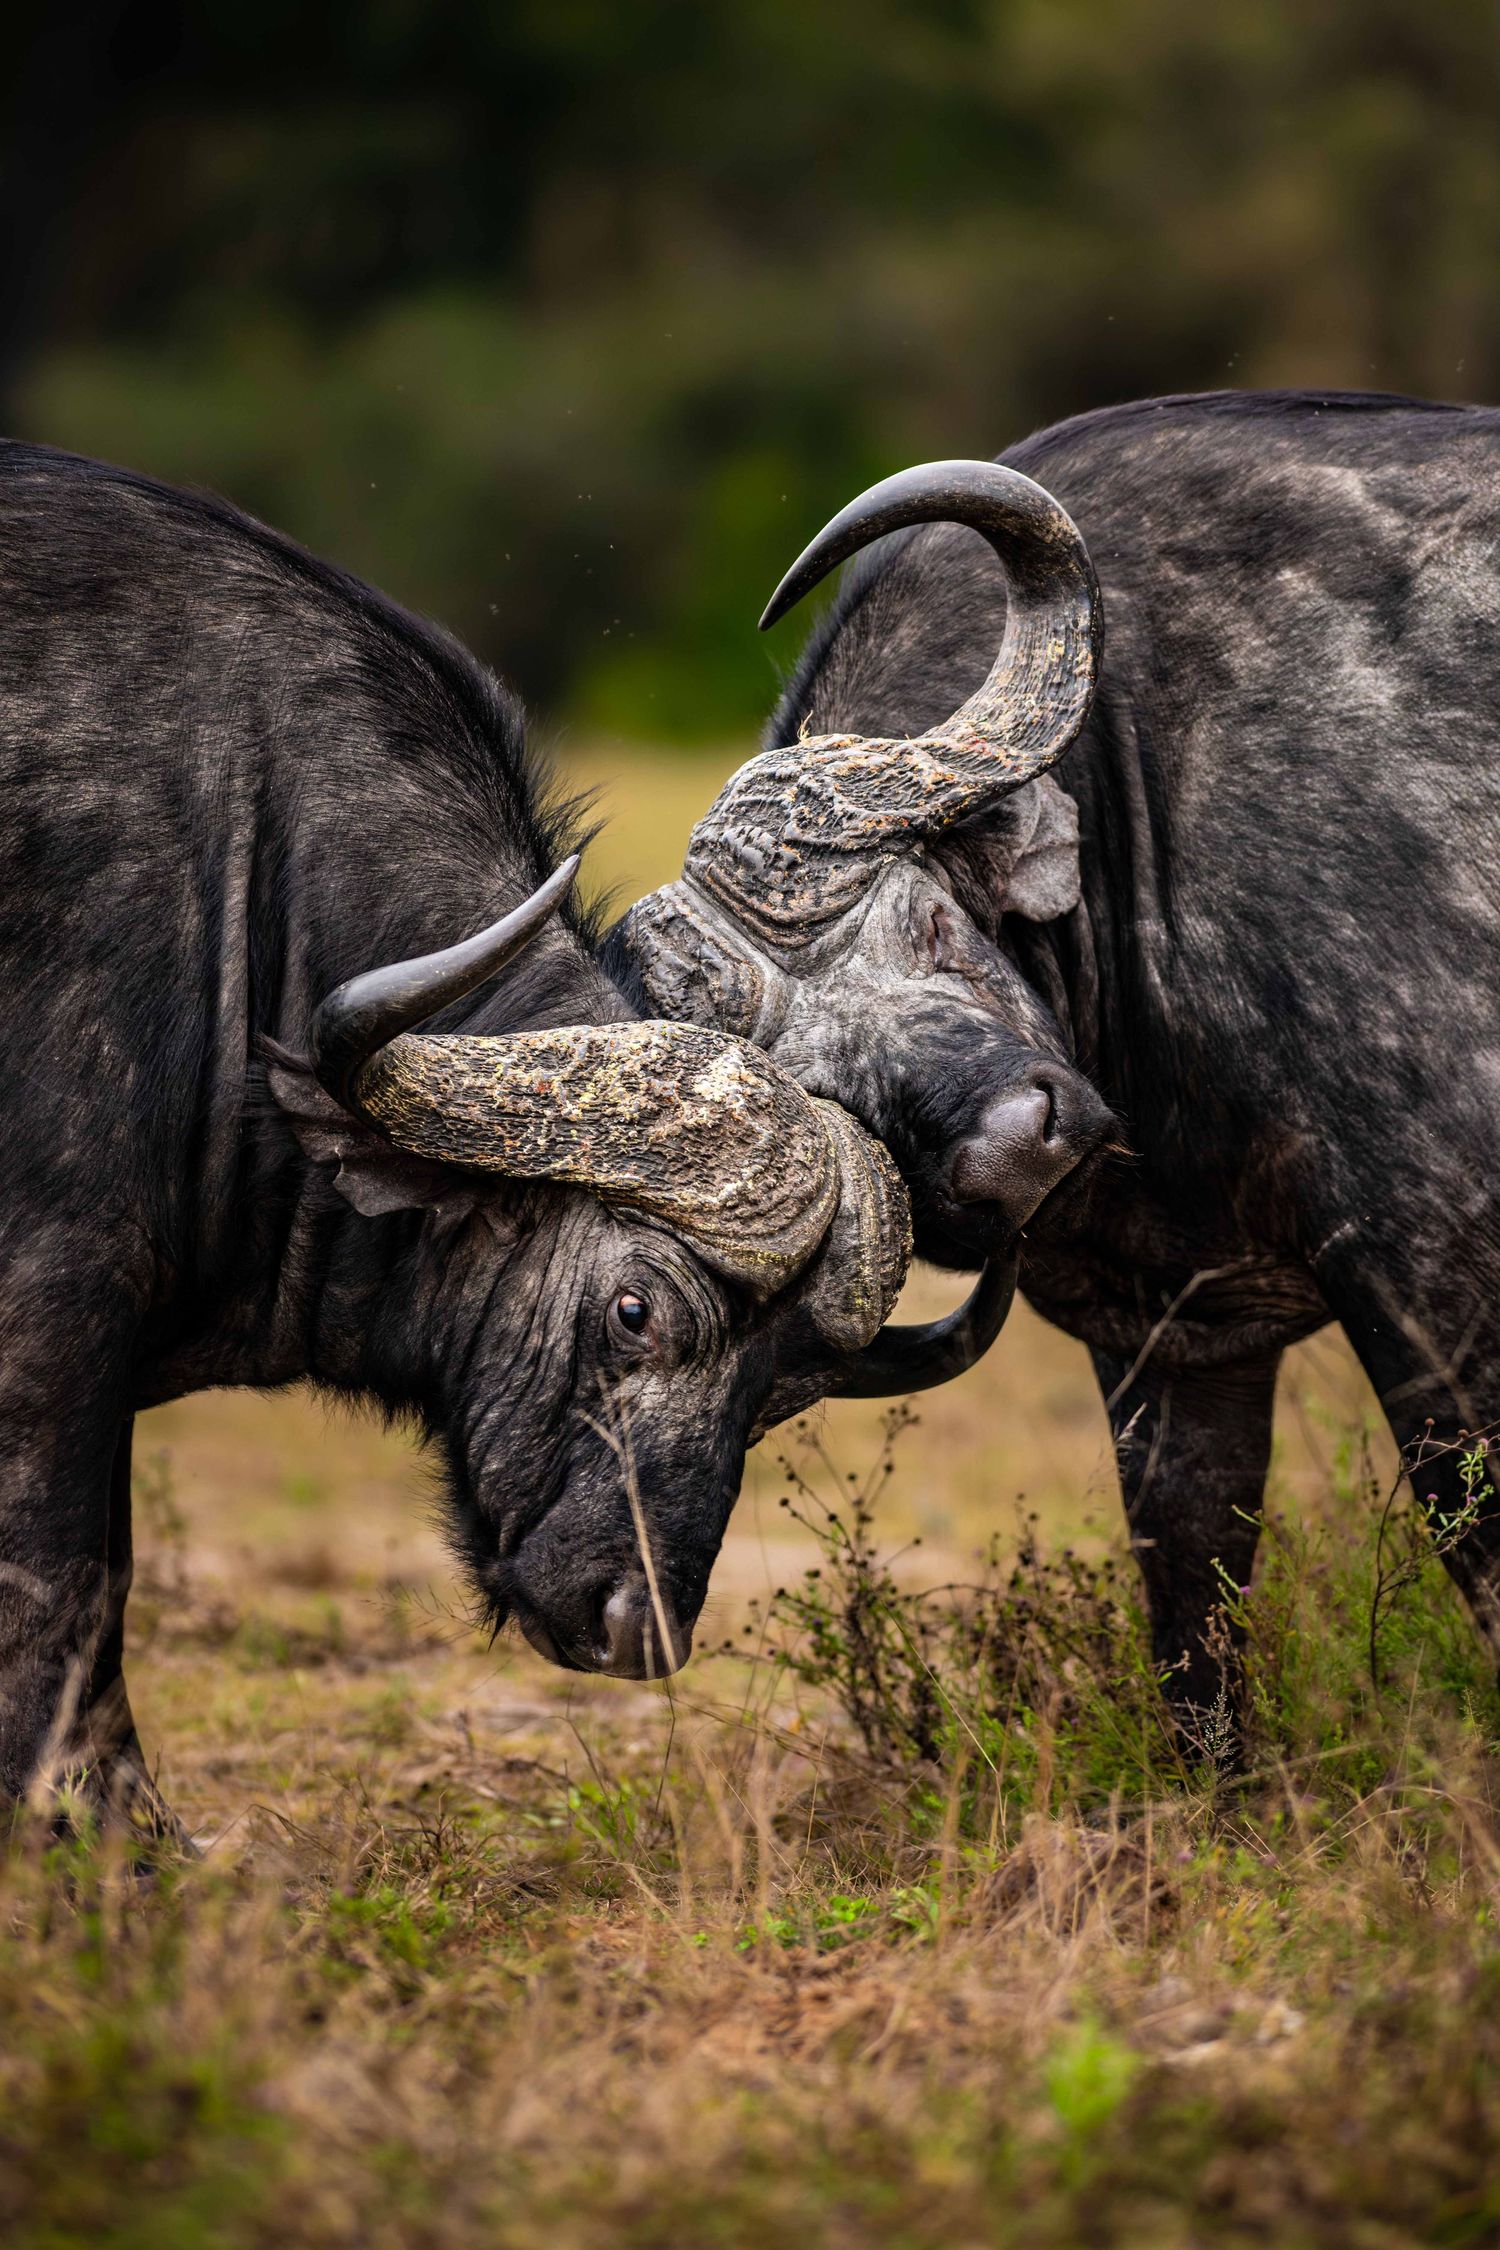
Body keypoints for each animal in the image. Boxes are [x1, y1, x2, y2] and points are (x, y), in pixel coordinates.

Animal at [0, 439, 1012, 1836]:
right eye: (635, 1311)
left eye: (785, 1389)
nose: (639, 1624)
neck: (240, 913)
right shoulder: (49, 1339)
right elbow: (61, 1600)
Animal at [621, 389, 1500, 1729]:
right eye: (823, 1102)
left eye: (933, 923)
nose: (1011, 1155)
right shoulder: (1172, 1339)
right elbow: (1192, 1602)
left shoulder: (1440, 1288)